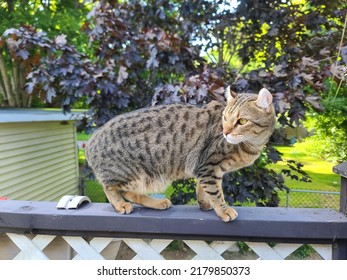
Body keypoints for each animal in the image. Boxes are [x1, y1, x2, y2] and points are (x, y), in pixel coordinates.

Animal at [85, 86, 276, 222]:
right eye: (224, 118)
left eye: (242, 121)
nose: (226, 131)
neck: (252, 144)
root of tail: (90, 141)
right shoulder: (209, 166)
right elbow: (215, 192)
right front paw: (223, 210)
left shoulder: (205, 169)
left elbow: (202, 189)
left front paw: (205, 203)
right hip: (132, 174)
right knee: (111, 187)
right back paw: (120, 205)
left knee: (129, 192)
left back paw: (157, 202)